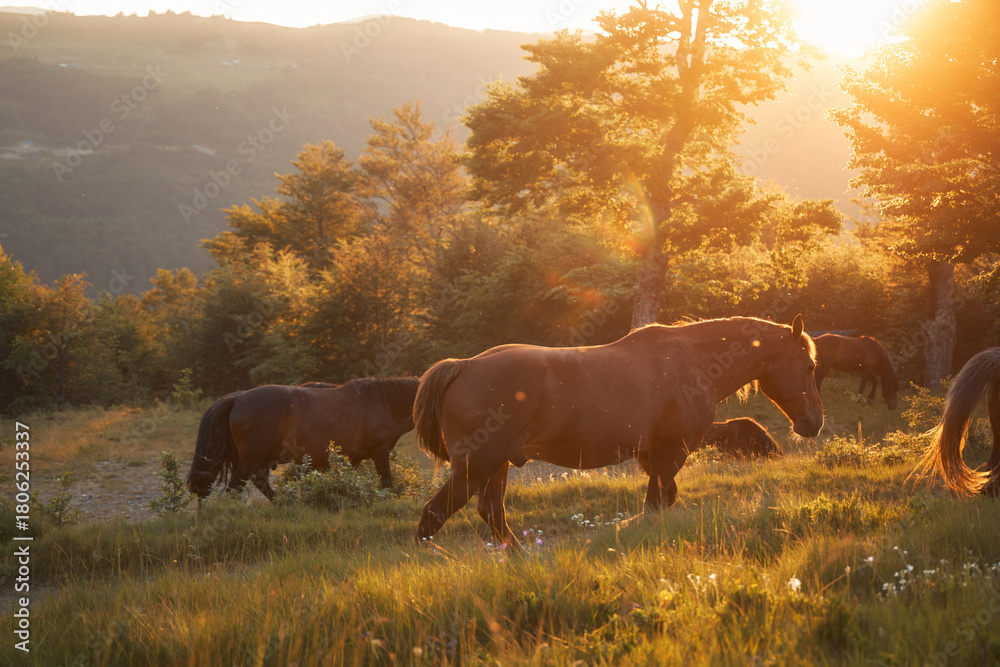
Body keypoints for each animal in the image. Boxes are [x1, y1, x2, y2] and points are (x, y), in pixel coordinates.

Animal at [186, 377, 420, 500]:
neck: (384, 402)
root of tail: (239, 397)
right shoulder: (379, 452)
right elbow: (387, 483)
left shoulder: (353, 458)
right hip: (252, 457)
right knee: (235, 489)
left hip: (259, 459)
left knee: (261, 484)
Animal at [413, 315, 823, 549]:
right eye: (809, 366)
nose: (813, 423)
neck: (693, 362)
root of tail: (464, 366)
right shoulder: (671, 452)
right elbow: (654, 505)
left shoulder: (653, 456)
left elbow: (663, 501)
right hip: (475, 468)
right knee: (434, 514)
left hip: (495, 467)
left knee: (492, 513)